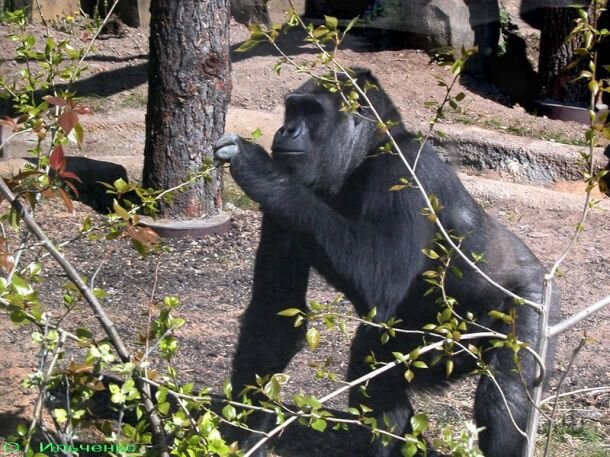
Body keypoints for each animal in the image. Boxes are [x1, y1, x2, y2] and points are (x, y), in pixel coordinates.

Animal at [214, 68, 556, 456]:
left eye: (312, 112)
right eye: (293, 109)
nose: (286, 130)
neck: (364, 158)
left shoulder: (403, 171)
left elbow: (381, 278)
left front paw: (255, 166)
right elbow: (274, 313)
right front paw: (244, 429)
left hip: (534, 302)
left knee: (505, 402)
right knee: (376, 372)